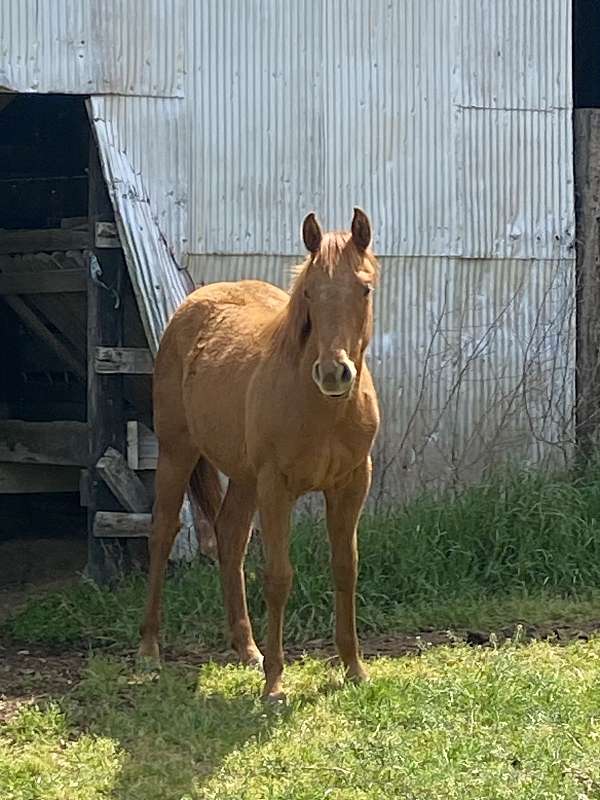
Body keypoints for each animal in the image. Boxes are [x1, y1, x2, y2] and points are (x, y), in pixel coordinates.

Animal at [139, 208, 380, 701]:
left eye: (364, 288)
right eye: (308, 292)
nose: (334, 373)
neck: (322, 407)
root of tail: (194, 303)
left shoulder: (351, 484)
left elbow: (345, 568)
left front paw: (354, 668)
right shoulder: (276, 487)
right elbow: (279, 576)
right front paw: (274, 683)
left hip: (244, 477)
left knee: (230, 539)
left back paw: (246, 647)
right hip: (177, 453)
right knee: (163, 533)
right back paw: (150, 647)